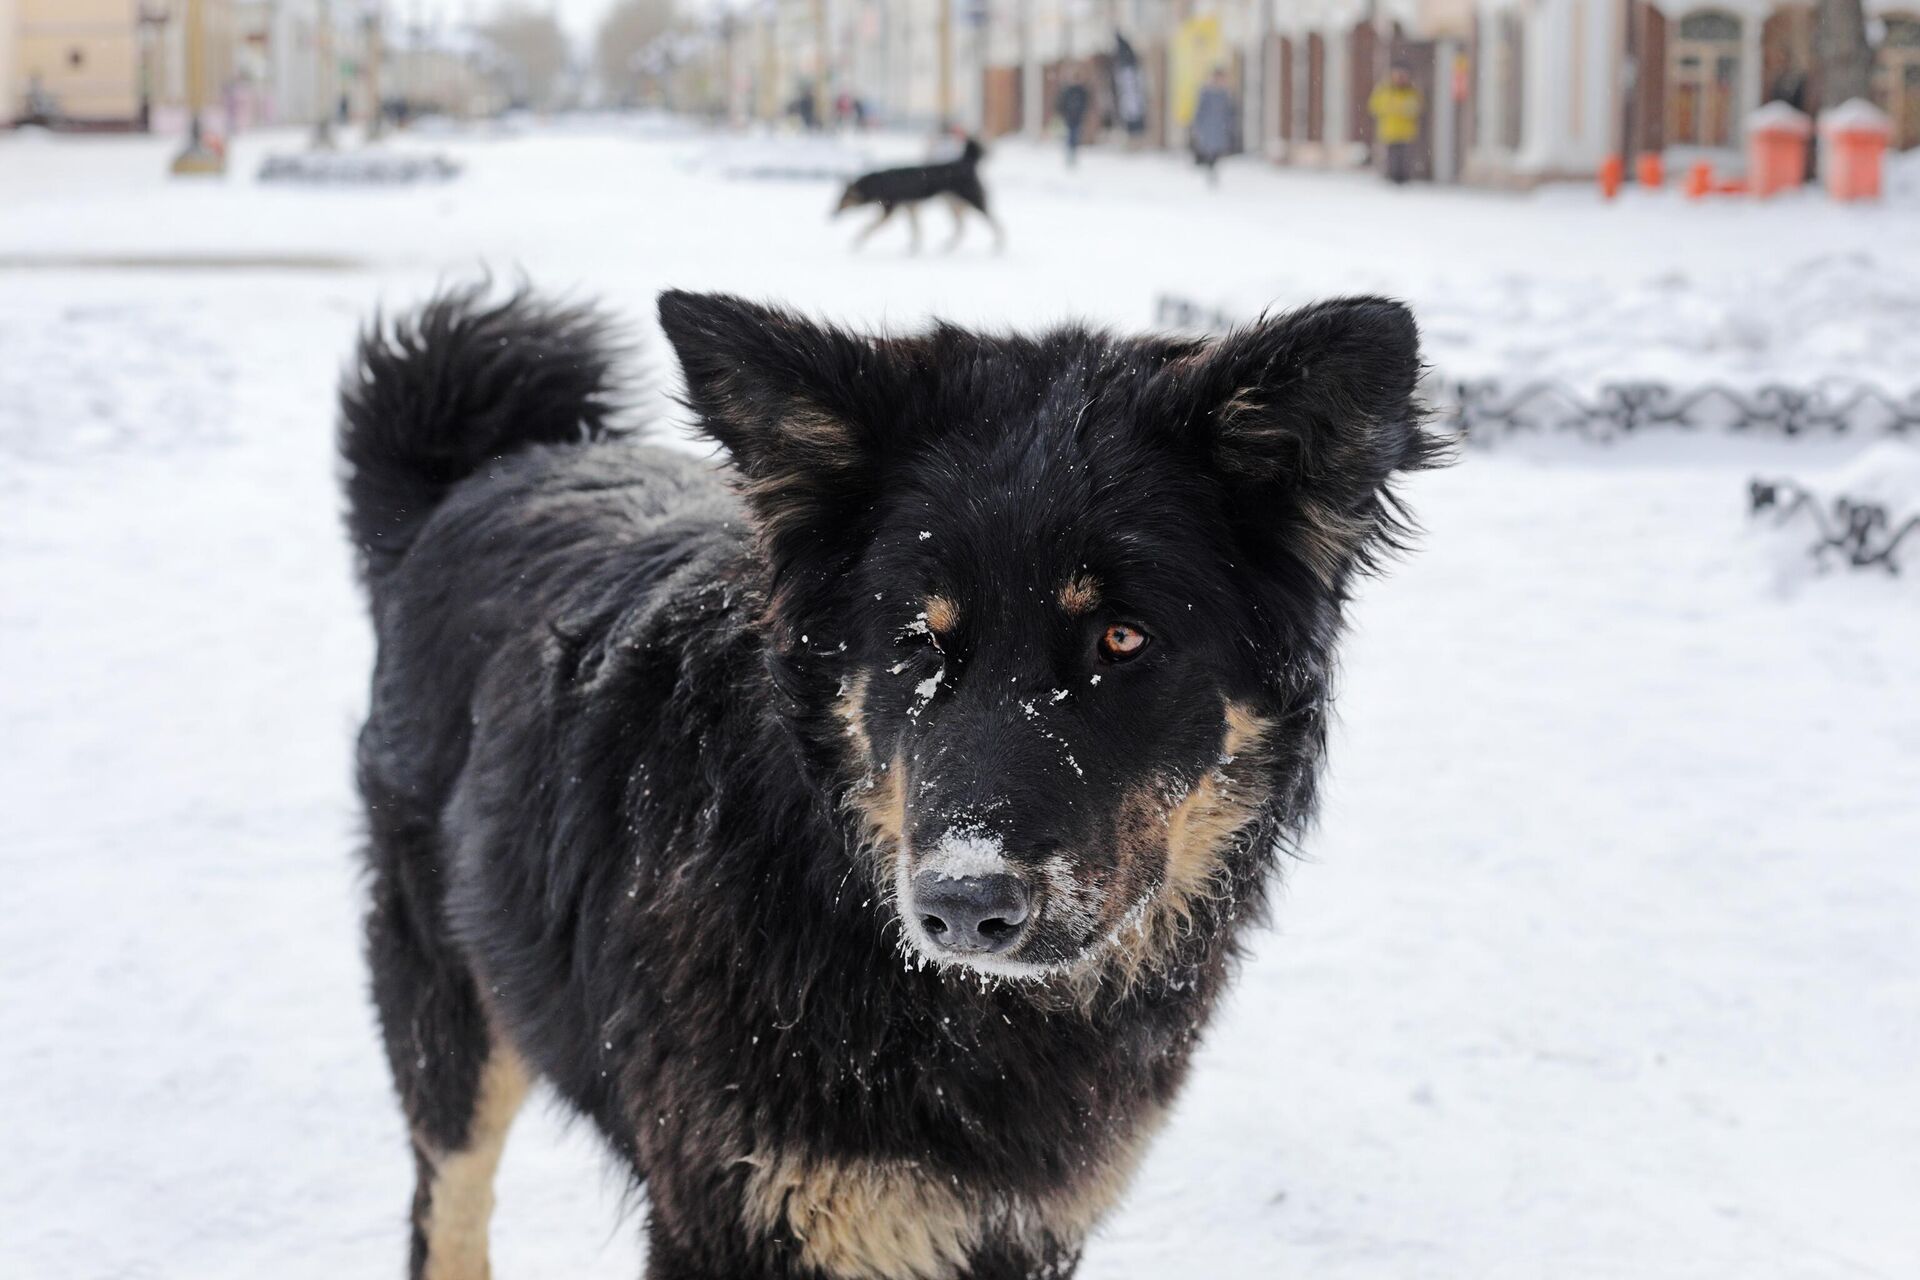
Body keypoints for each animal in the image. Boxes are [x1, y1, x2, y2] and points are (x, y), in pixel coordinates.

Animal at [337, 285, 1443, 1274]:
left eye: (1123, 639)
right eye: (918, 639)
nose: (963, 904)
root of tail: (485, 474)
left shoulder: (1016, 1229)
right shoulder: (733, 1216)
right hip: (453, 1023)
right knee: (447, 1216)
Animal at [829, 136, 1006, 253]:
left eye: (842, 199)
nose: (830, 214)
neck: (877, 184)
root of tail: (966, 161)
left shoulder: (891, 210)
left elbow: (869, 227)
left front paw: (858, 240)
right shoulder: (910, 208)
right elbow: (915, 229)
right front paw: (914, 247)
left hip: (973, 200)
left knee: (993, 222)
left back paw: (998, 244)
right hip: (952, 203)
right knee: (962, 227)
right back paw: (949, 246)